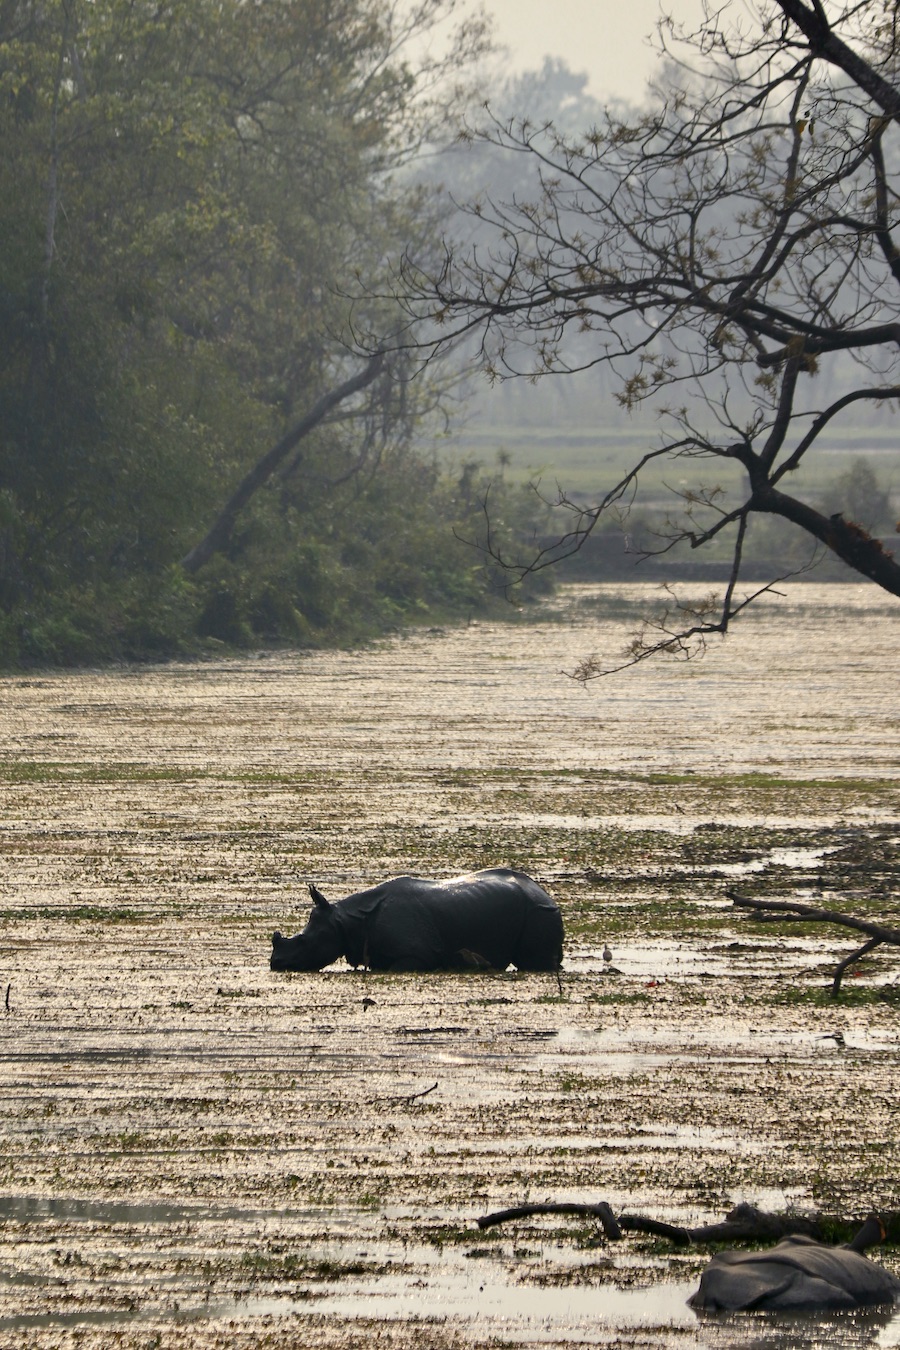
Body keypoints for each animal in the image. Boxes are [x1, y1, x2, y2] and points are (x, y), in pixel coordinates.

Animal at [269, 867, 563, 973]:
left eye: (304, 942)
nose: (276, 964)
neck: (345, 922)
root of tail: (544, 893)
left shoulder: (416, 956)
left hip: (539, 912)